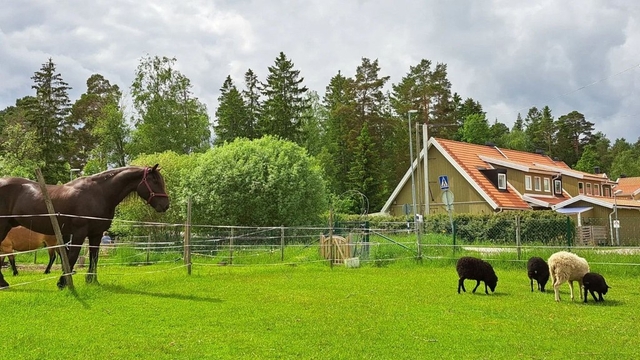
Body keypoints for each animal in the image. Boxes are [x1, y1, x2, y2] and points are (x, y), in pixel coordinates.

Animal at [0, 165, 170, 288]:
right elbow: (73, 256)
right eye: (155, 181)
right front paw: (62, 282)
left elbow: (94, 257)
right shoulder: (79, 232)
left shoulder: (96, 233)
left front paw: (91, 281)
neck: (99, 193)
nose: (166, 205)